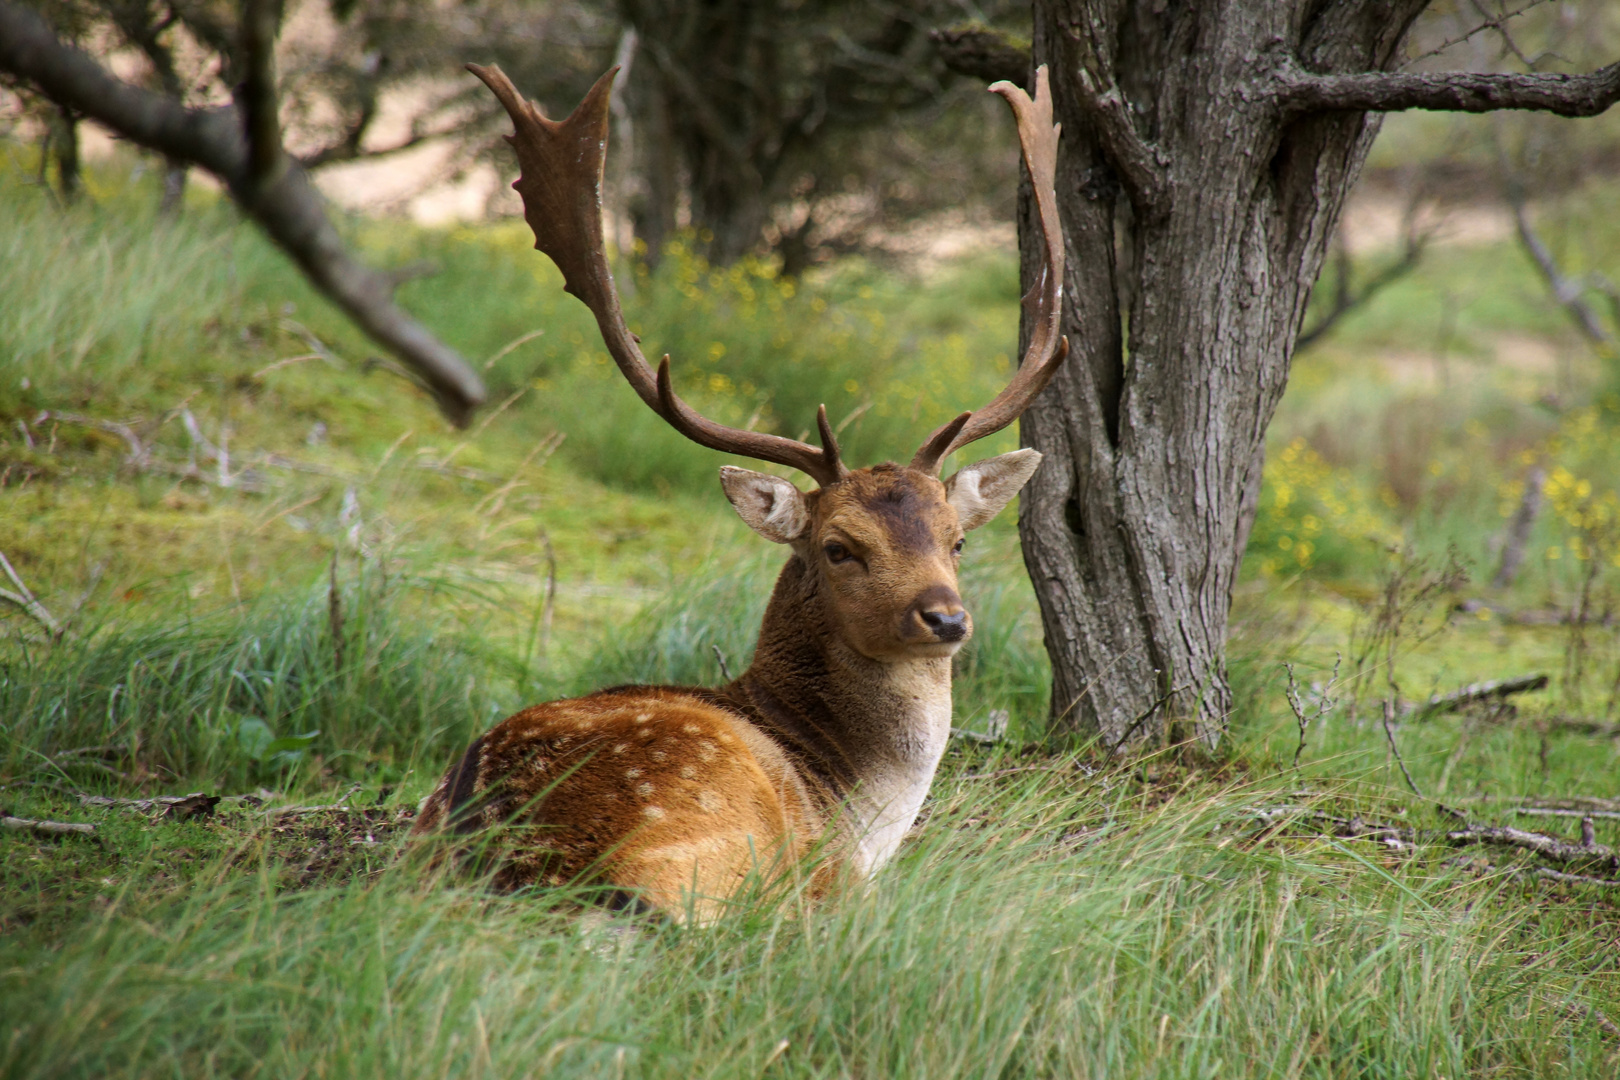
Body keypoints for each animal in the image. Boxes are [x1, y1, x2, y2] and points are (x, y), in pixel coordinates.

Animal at [411, 61, 1062, 919]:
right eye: (839, 547)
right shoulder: (831, 873)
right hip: (710, 830)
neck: (859, 808)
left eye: (957, 538)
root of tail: (502, 853)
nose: (946, 617)